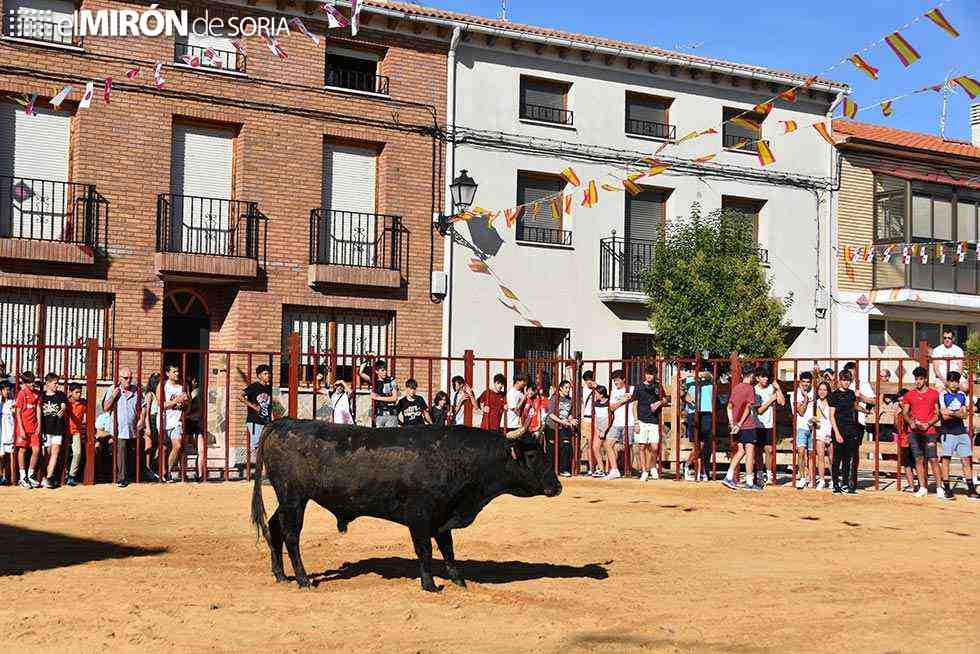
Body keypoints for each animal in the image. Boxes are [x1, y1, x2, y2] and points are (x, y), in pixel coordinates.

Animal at [249, 420, 564, 596]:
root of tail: (285, 423)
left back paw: (280, 575)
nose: (558, 486)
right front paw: (430, 585)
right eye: (533, 455)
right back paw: (303, 579)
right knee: (291, 535)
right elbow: (424, 550)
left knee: (274, 527)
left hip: (286, 499)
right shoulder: (419, 516)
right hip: (294, 497)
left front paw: (459, 580)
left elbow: (448, 549)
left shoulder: (443, 515)